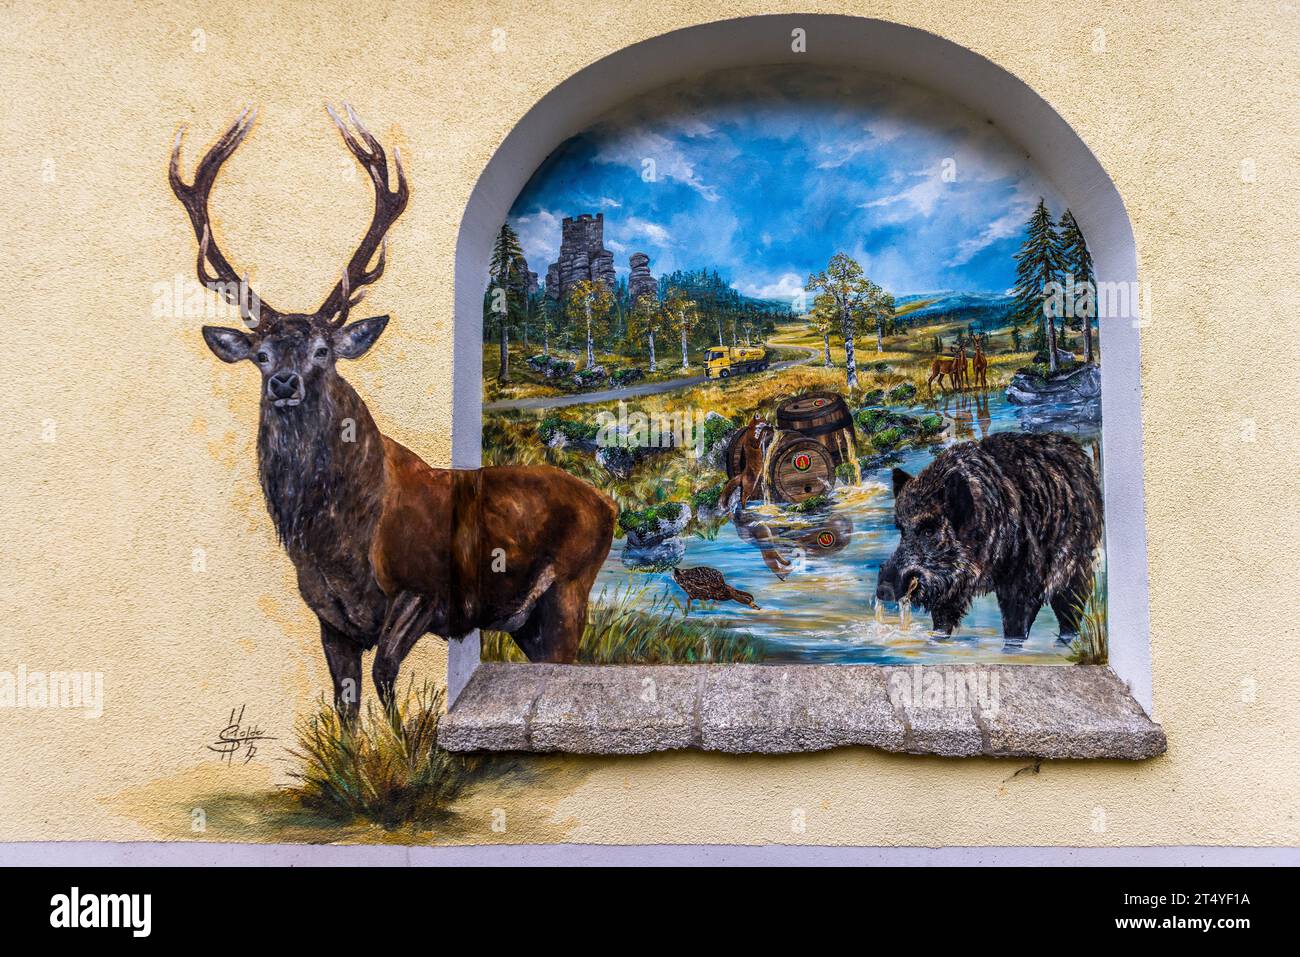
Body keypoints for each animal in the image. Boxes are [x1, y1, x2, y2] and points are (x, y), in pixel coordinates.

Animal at [172, 106, 613, 717]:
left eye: (322, 351)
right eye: (260, 355)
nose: (283, 382)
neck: (334, 542)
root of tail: (609, 506)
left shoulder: (423, 590)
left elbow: (386, 679)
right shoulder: (328, 617)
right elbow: (346, 706)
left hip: (569, 590)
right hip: (527, 620)